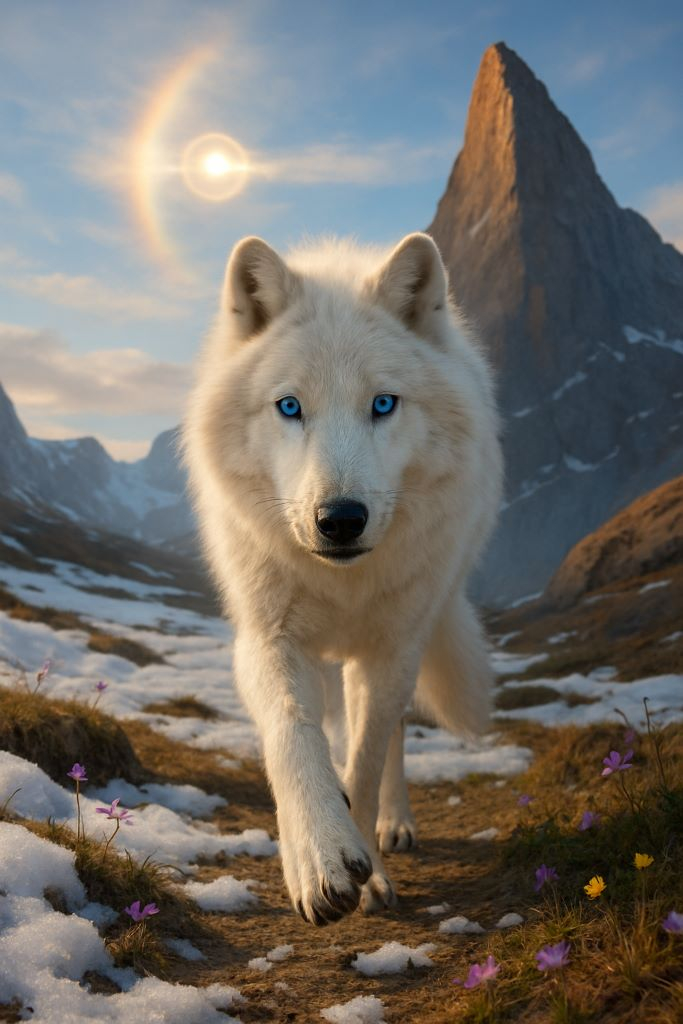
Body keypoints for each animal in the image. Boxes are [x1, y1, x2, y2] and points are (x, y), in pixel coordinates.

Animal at [183, 232, 503, 924]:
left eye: (382, 404)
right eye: (289, 407)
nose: (340, 520)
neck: (342, 584)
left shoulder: (391, 650)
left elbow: (367, 757)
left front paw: (370, 870)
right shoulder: (268, 639)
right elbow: (294, 735)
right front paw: (318, 855)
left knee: (389, 736)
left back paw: (393, 824)